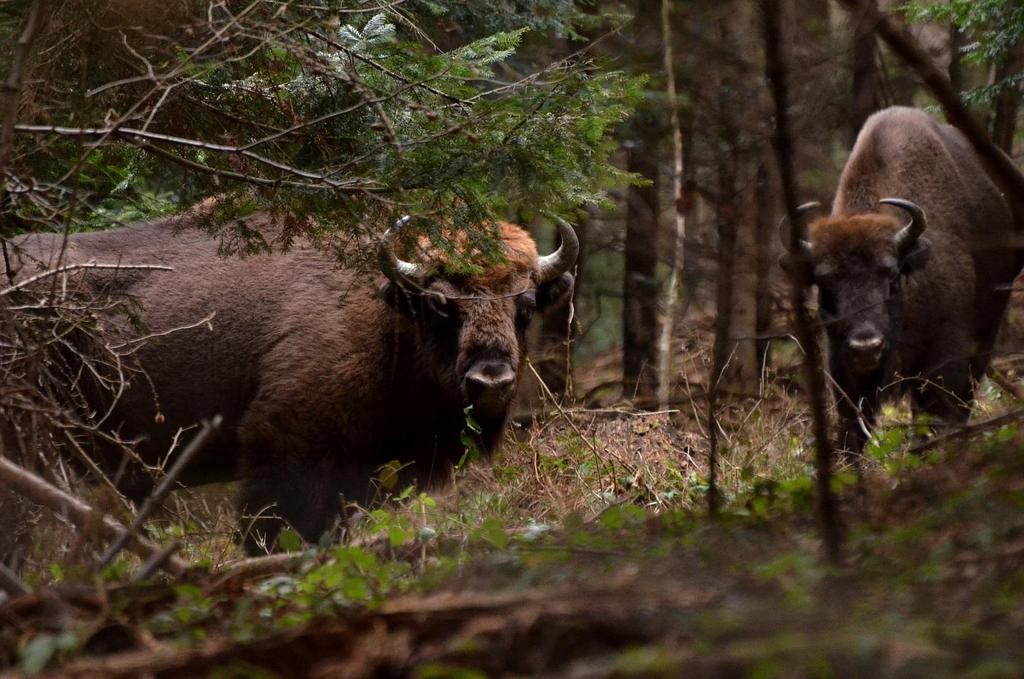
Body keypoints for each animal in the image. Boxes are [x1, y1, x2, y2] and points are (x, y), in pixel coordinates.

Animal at [782, 104, 1015, 456]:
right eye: (824, 281)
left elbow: (939, 413)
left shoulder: (946, 358)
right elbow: (853, 429)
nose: (866, 345)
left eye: (891, 274)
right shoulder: (843, 369)